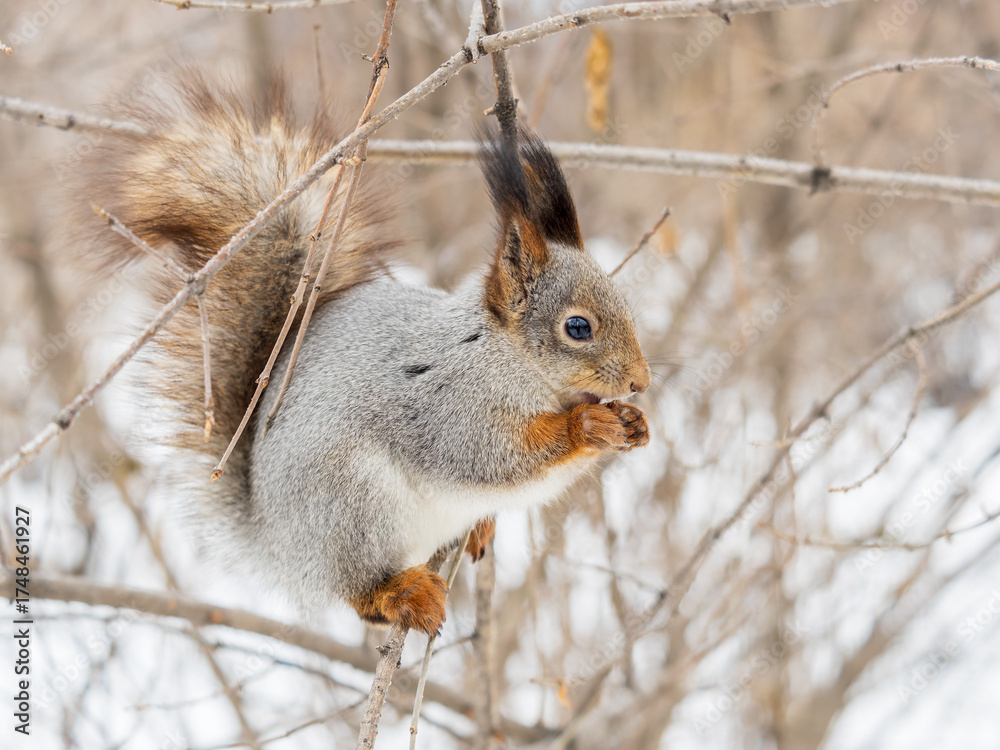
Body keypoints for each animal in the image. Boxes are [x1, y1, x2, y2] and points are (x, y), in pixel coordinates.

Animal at [79, 70, 651, 636]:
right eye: (577, 327)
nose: (641, 381)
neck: (504, 354)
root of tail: (274, 542)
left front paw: (634, 423)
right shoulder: (450, 404)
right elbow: (495, 456)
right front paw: (588, 427)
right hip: (354, 506)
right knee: (358, 595)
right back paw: (402, 596)